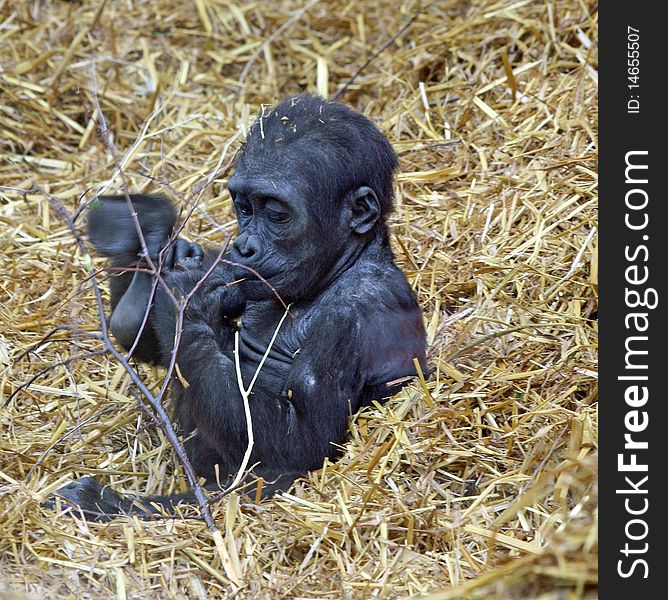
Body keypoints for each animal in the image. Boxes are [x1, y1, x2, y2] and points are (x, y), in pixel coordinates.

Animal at [53, 95, 428, 520]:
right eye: (244, 208)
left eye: (277, 213)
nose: (244, 246)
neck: (338, 270)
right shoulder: (236, 274)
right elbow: (148, 344)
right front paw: (152, 247)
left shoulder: (351, 316)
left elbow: (302, 442)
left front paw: (186, 301)